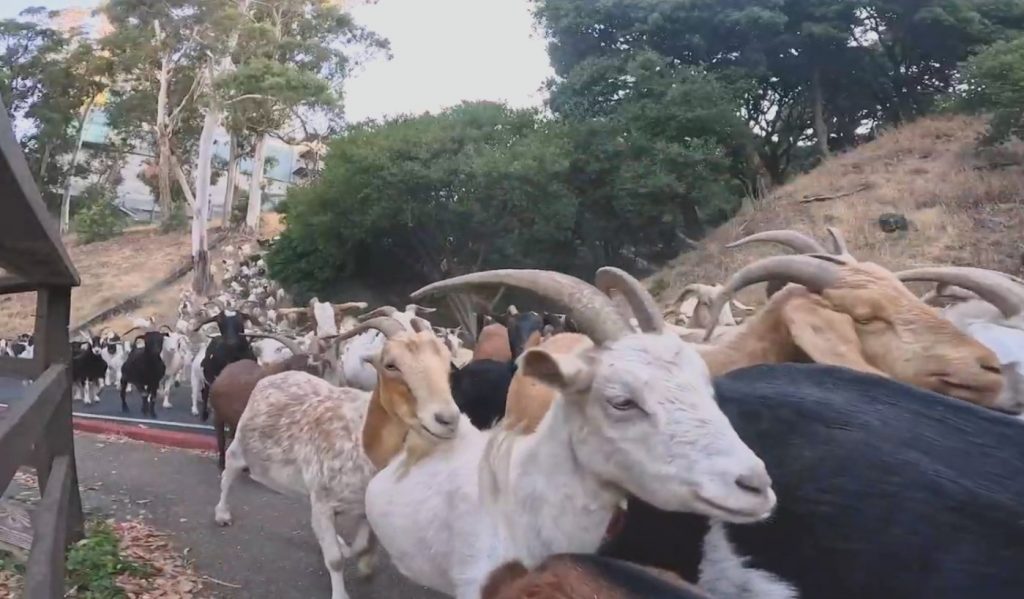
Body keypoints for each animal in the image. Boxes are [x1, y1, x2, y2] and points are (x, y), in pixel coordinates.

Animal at [211, 315, 460, 593]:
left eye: (447, 364)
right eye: (391, 365)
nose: (448, 419)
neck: (360, 435)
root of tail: (275, 376)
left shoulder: (359, 505)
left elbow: (361, 544)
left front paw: (360, 560)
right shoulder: (324, 502)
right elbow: (335, 559)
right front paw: (341, 588)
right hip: (241, 441)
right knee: (229, 471)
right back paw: (222, 514)